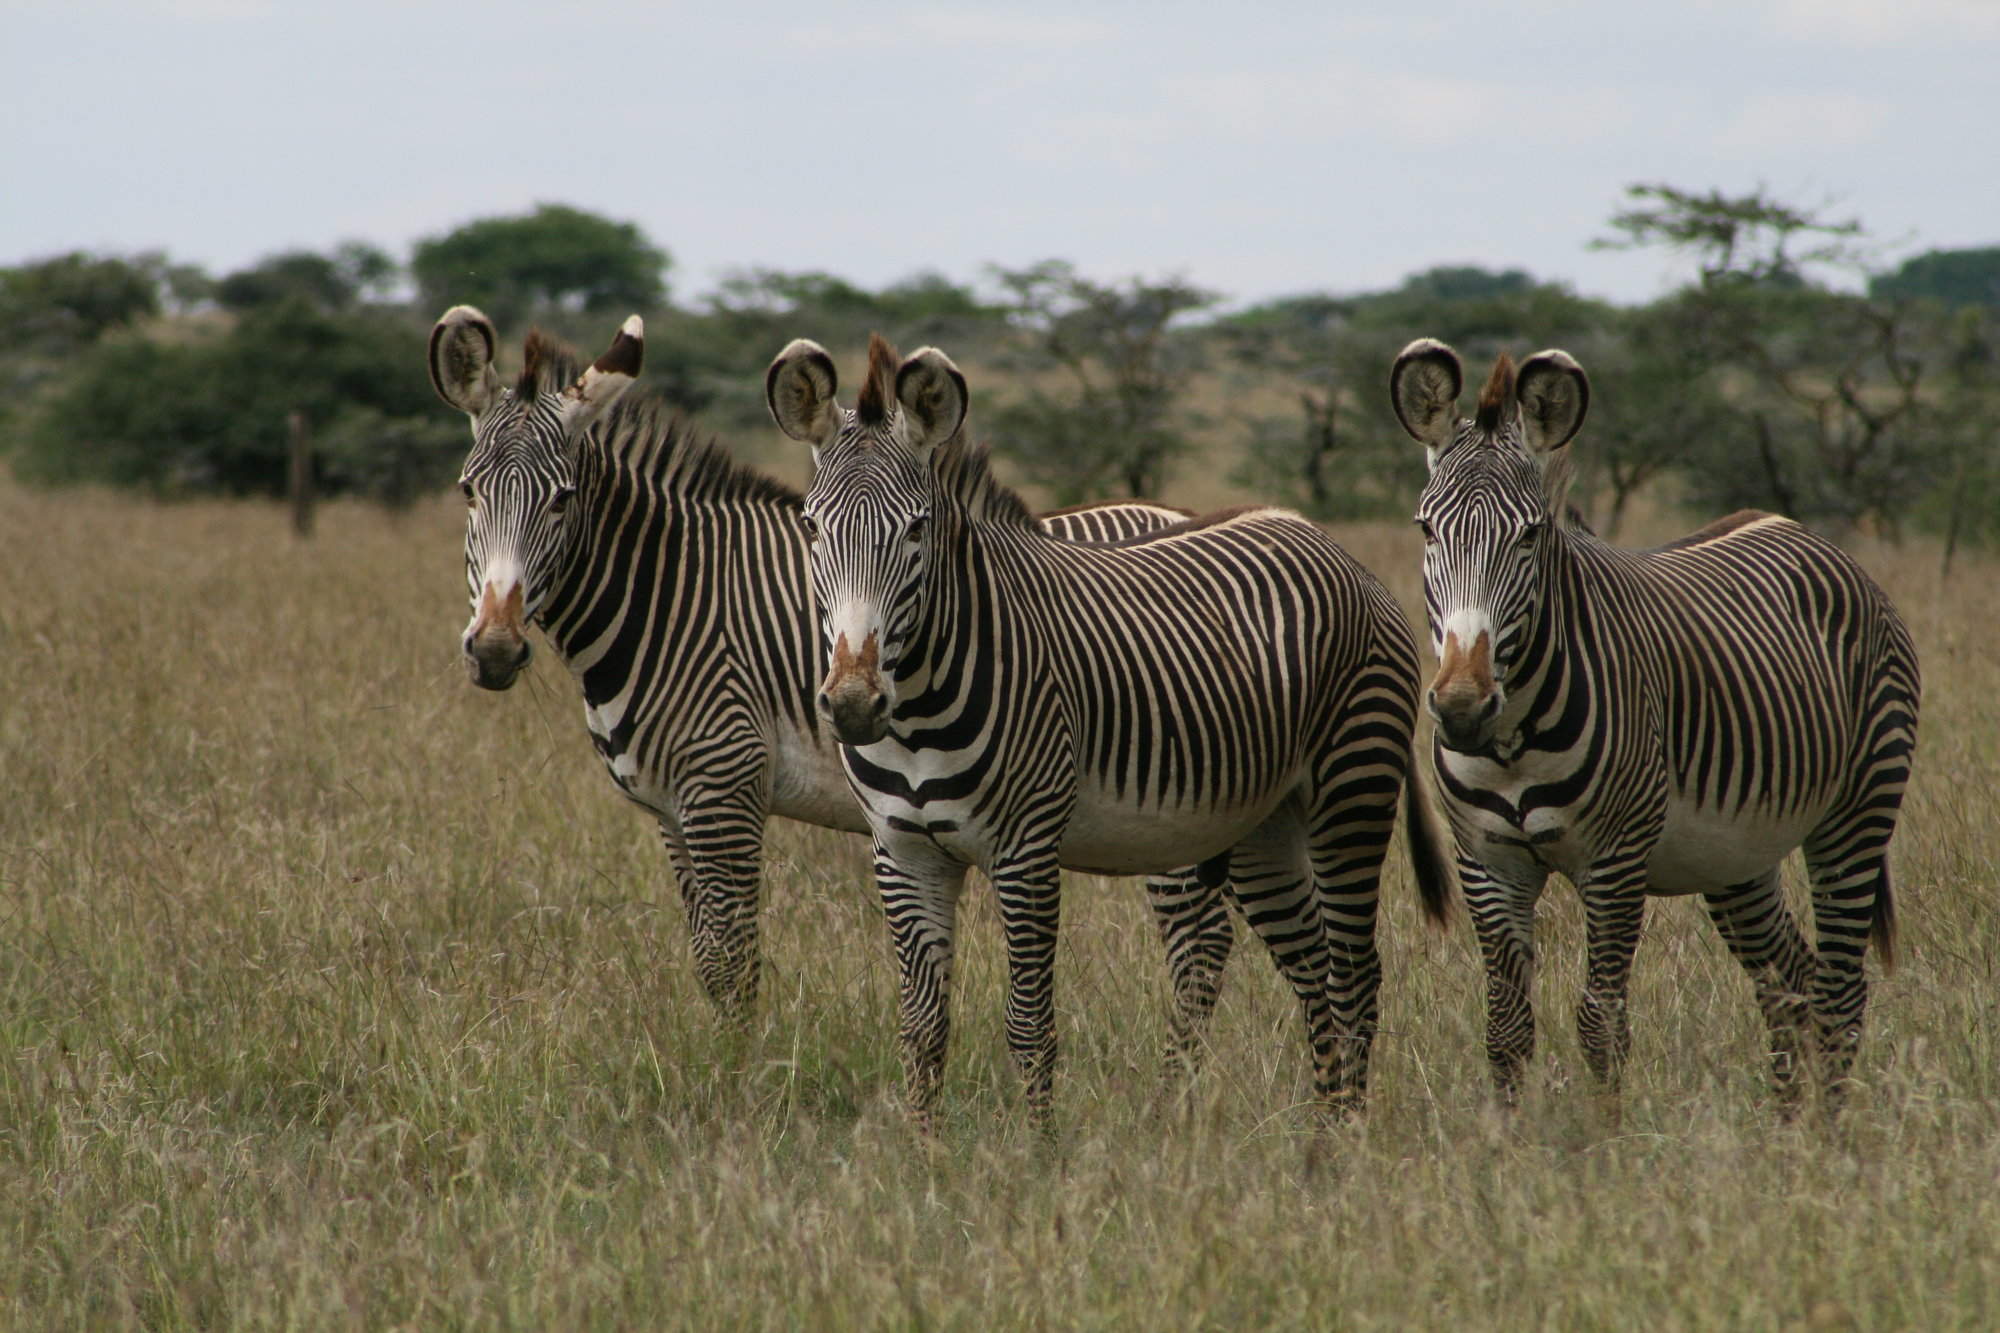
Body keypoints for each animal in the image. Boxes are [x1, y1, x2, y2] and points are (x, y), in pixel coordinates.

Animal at [430, 308, 1224, 1024]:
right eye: (468, 491)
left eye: (562, 500)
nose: (494, 649)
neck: (668, 595)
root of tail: (1180, 512)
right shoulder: (671, 809)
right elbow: (706, 961)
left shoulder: (725, 788)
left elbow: (734, 967)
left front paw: (738, 1076)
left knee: (1198, 947)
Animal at [768, 330, 1456, 1120]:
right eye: (812, 527)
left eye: (916, 530)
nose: (854, 702)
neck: (915, 713)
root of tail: (1329, 543)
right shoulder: (903, 851)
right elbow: (922, 1027)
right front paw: (924, 1145)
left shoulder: (1026, 849)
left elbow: (1029, 1023)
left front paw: (1040, 1148)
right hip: (1265, 821)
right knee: (1314, 971)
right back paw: (1316, 1128)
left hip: (1353, 789)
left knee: (1355, 977)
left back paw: (1344, 1134)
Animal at [1392, 338, 1920, 1104]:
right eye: (1427, 530)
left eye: (1530, 536)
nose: (1463, 707)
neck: (1514, 739)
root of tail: (1810, 537)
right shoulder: (1488, 862)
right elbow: (1506, 1030)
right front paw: (1506, 1135)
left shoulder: (1614, 862)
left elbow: (1600, 1025)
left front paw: (1604, 1137)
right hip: (1738, 851)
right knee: (1791, 983)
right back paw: (1789, 1128)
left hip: (1858, 807)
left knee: (1841, 994)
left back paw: (1832, 1131)